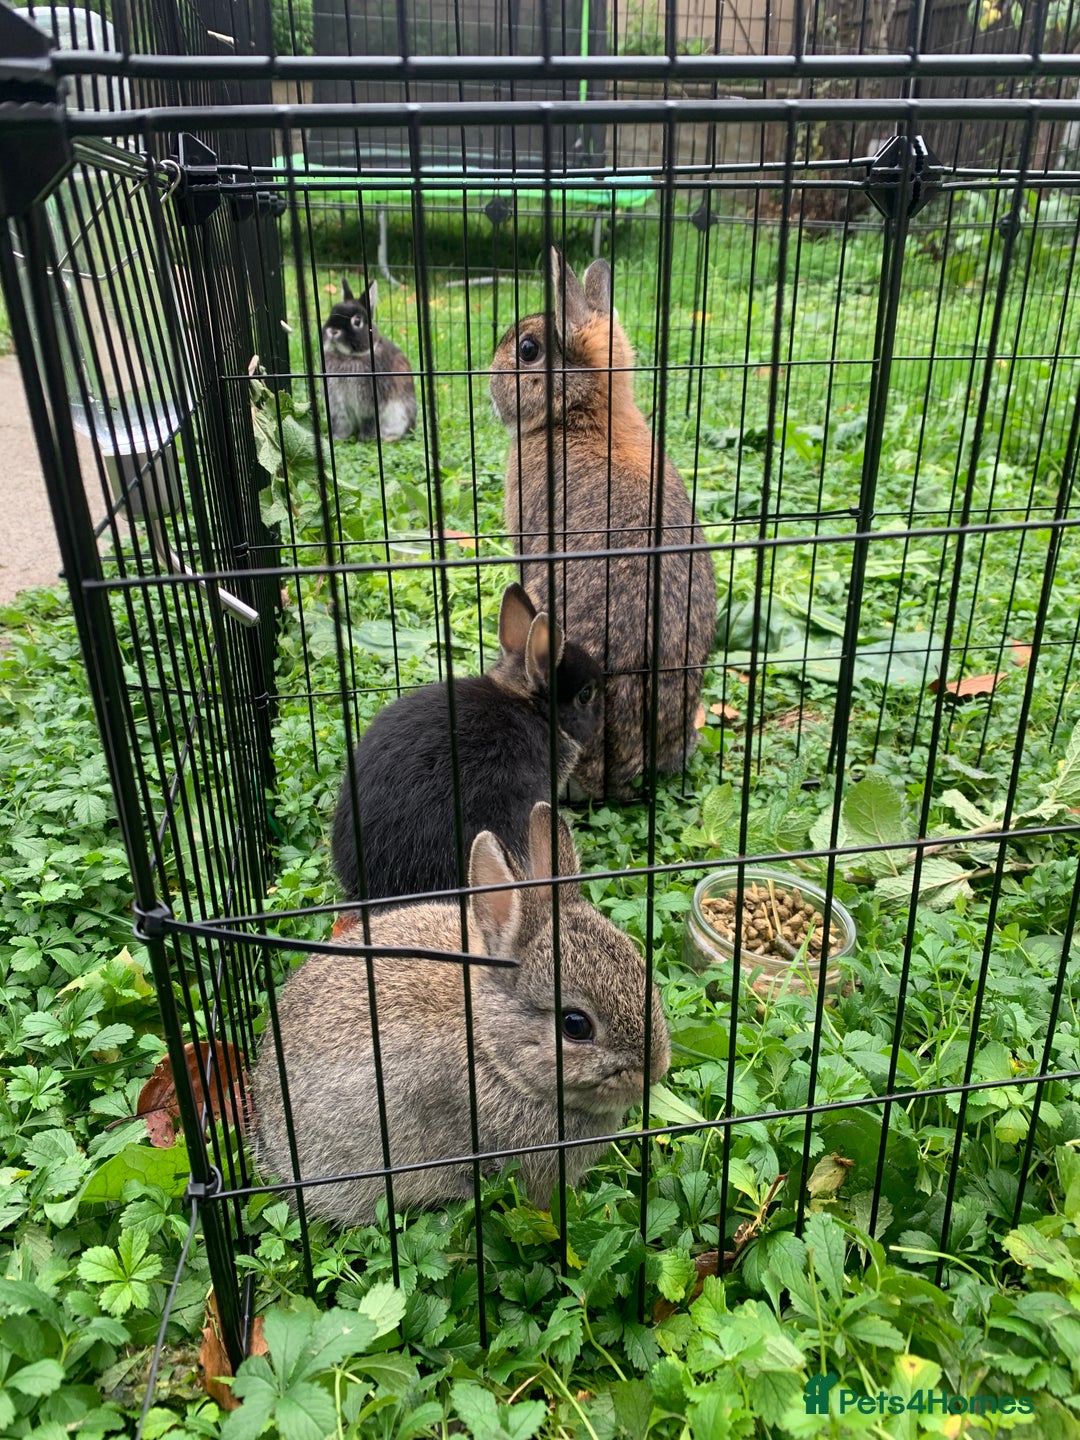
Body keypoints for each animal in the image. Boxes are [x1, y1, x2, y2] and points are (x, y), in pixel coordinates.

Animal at [322, 278, 417, 442]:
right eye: (332, 312)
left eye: (357, 321)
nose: (333, 331)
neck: (348, 357)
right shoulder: (337, 404)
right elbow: (341, 421)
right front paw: (338, 438)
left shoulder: (371, 403)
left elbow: (369, 420)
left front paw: (365, 439)